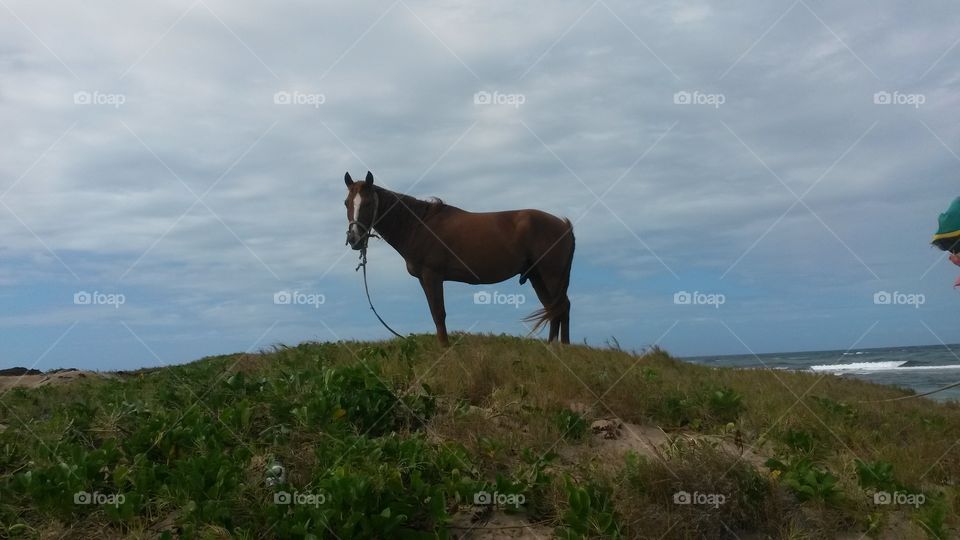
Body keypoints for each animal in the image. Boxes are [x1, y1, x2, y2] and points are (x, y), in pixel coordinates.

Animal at [343, 171, 575, 346]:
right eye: (346, 203)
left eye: (367, 204)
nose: (354, 239)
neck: (419, 225)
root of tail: (564, 225)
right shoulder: (424, 279)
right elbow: (435, 313)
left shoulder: (432, 276)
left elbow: (438, 314)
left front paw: (445, 349)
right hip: (537, 277)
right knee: (554, 308)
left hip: (550, 276)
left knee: (562, 307)